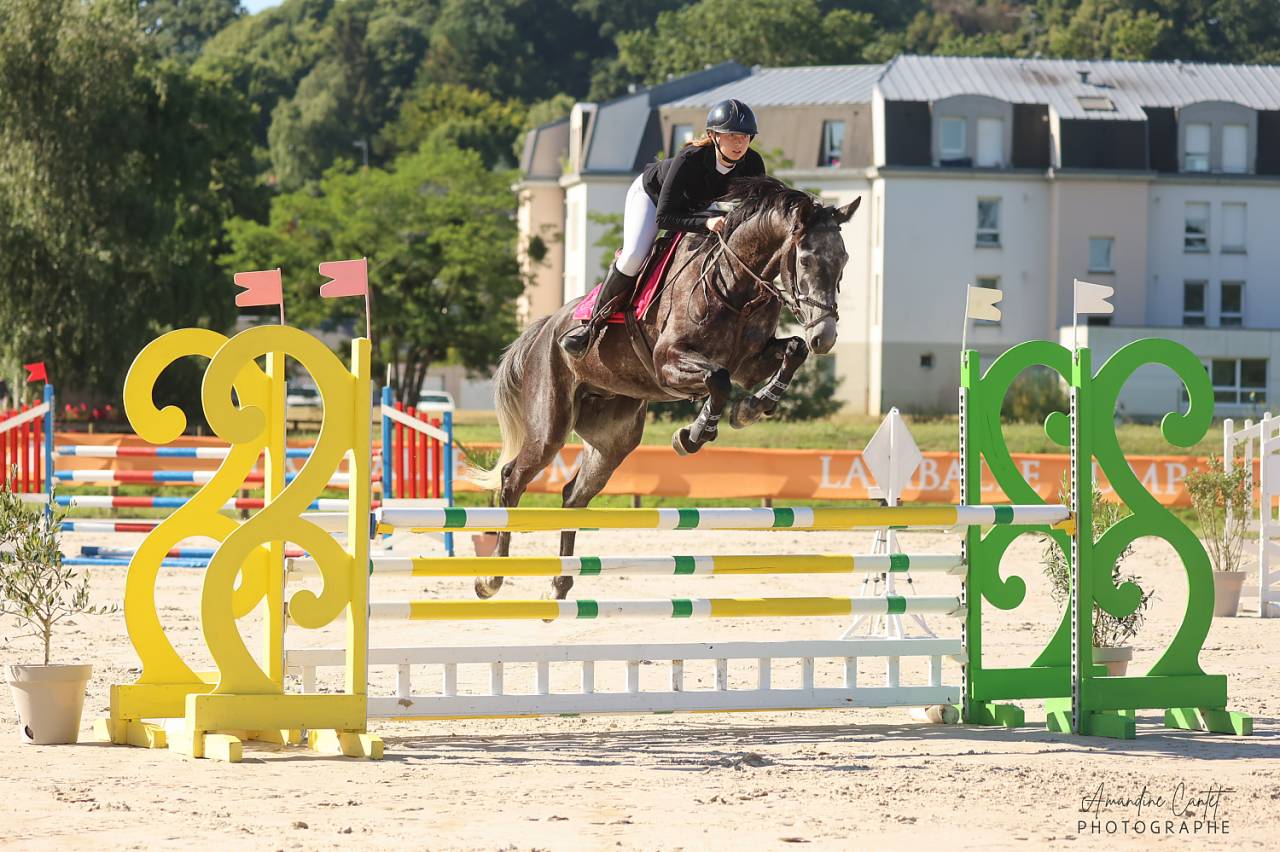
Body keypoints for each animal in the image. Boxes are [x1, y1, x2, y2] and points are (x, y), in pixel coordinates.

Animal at [472, 176, 860, 600]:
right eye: (805, 260)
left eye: (843, 261)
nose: (826, 336)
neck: (735, 285)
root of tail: (545, 327)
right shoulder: (668, 362)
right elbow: (717, 380)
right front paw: (694, 434)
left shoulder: (749, 364)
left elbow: (792, 351)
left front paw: (751, 409)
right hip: (549, 427)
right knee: (512, 478)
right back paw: (491, 579)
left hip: (613, 439)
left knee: (574, 496)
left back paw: (559, 584)